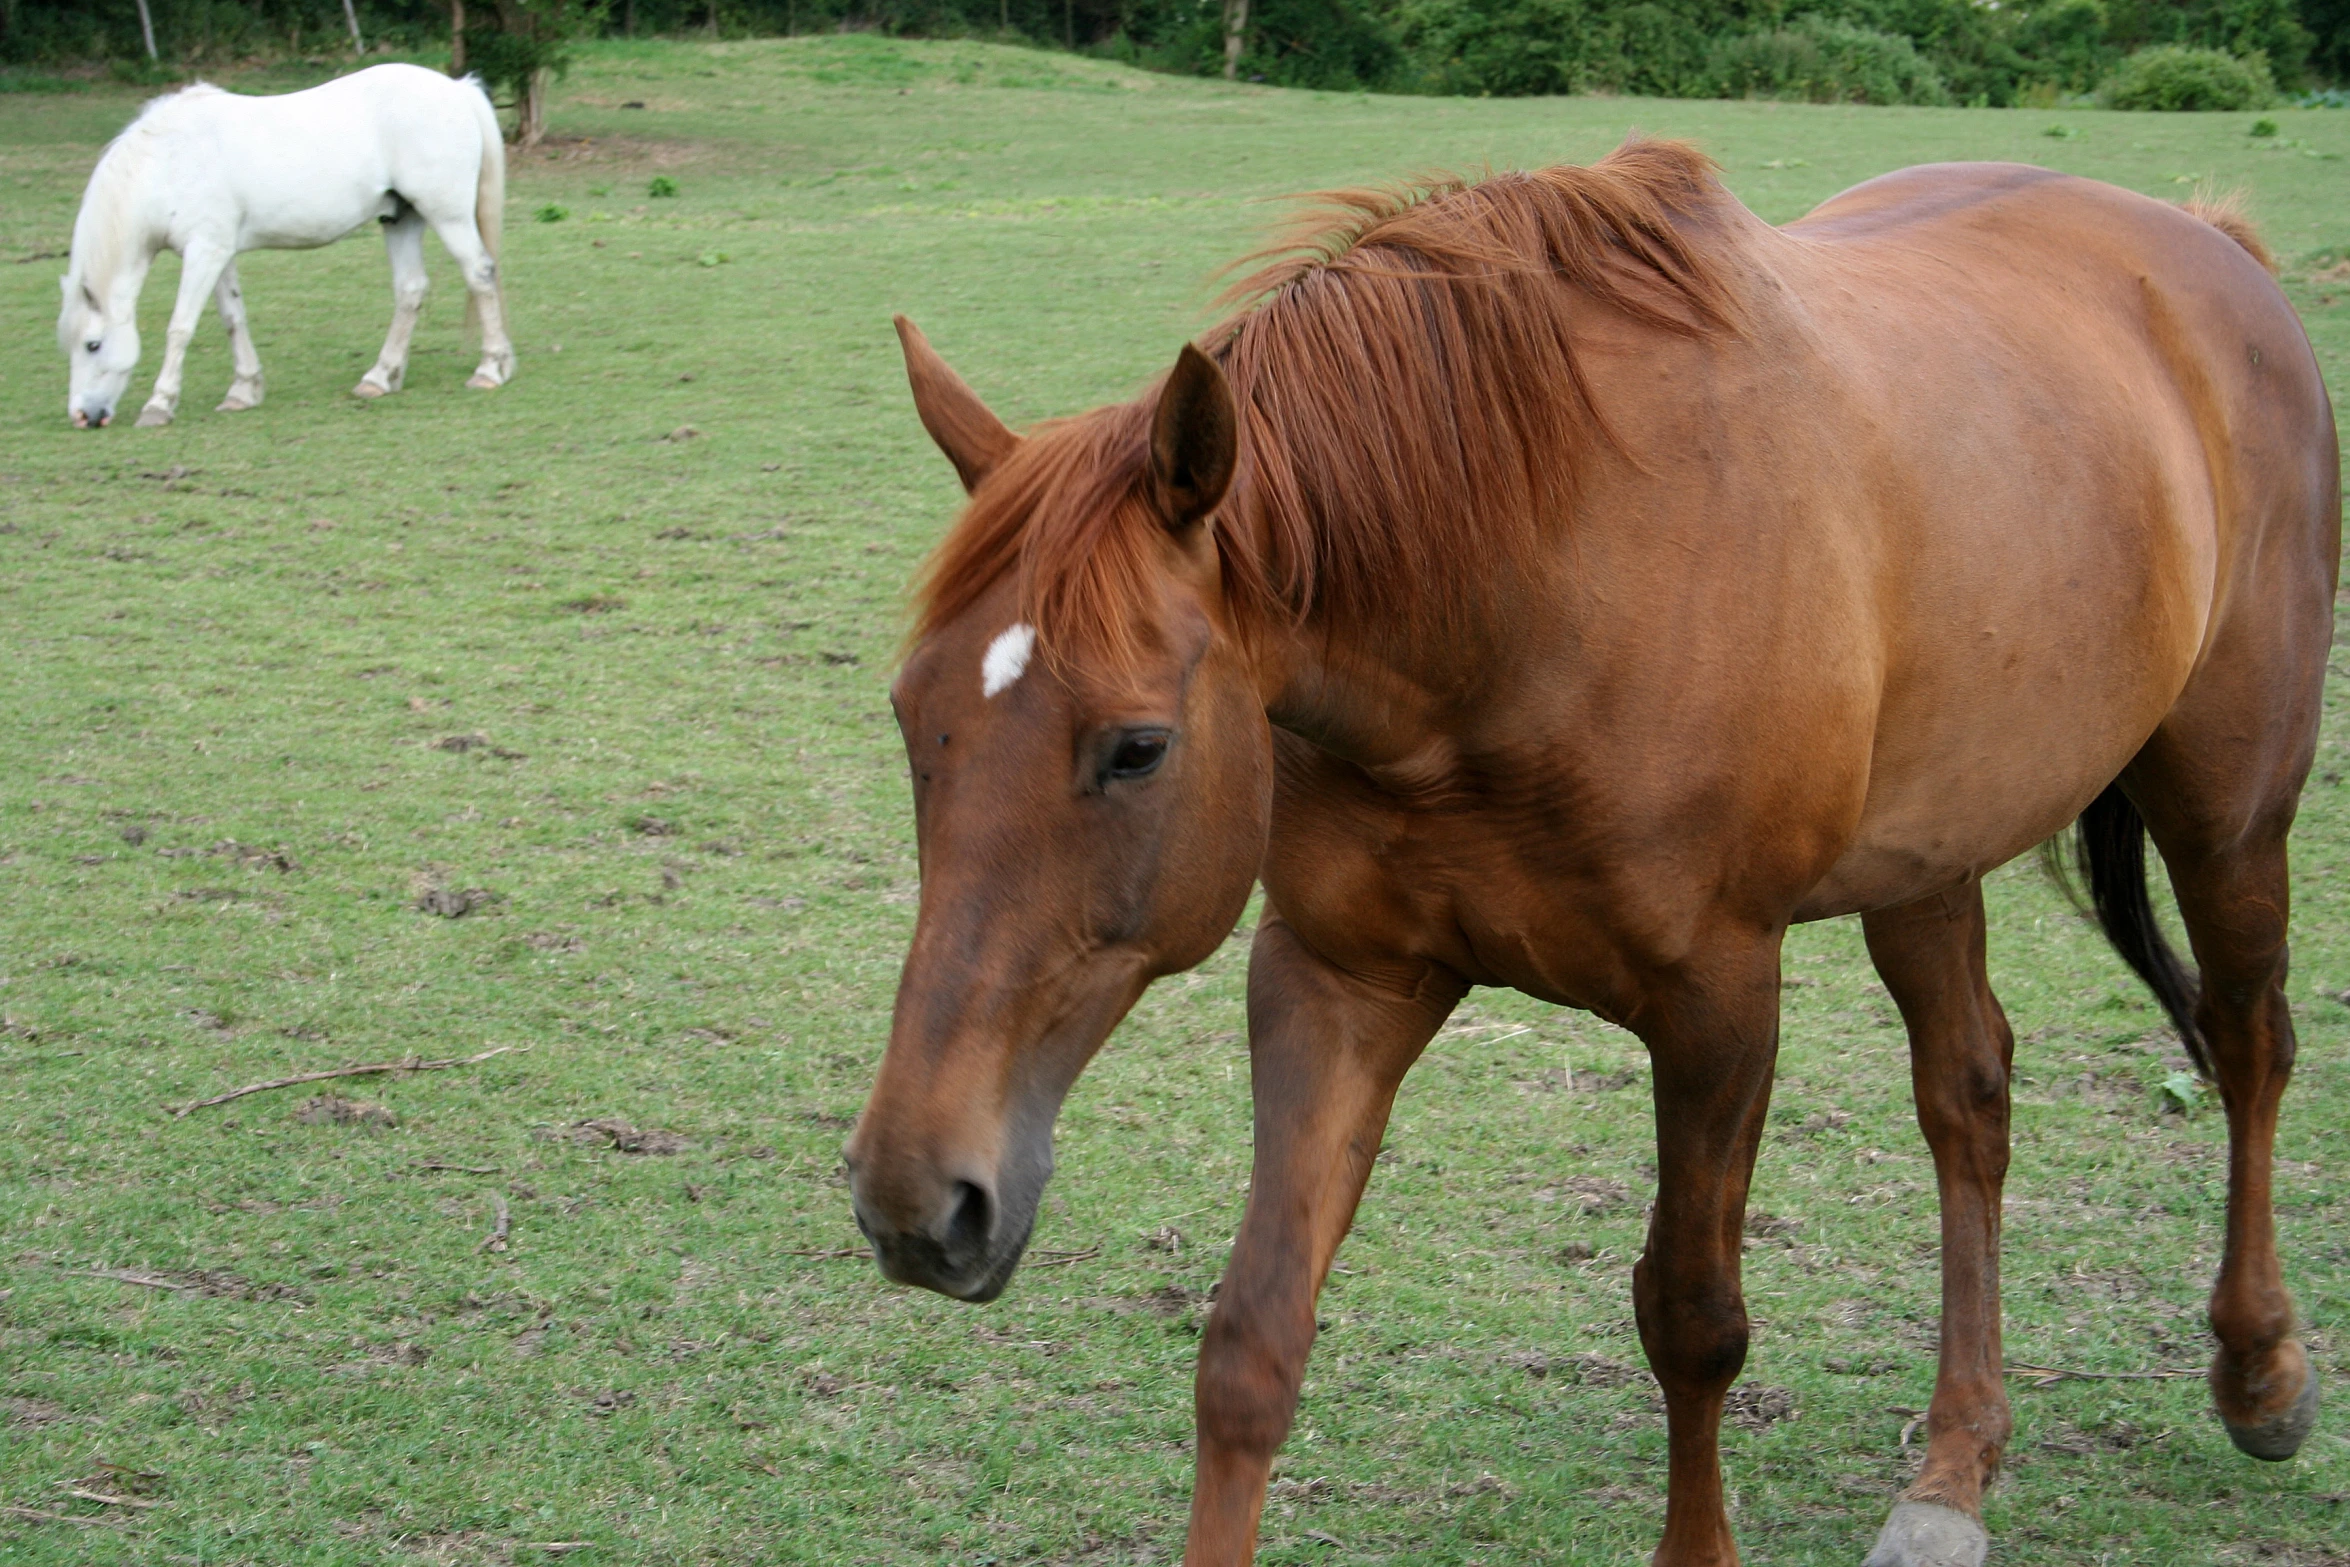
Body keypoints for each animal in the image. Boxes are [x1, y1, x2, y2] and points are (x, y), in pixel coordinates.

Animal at [59, 65, 517, 425]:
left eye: (93, 344)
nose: (83, 416)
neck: (169, 161)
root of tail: (457, 89)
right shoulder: (218, 253)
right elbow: (233, 318)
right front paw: (243, 391)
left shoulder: (204, 252)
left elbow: (181, 327)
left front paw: (159, 404)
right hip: (401, 219)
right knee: (411, 290)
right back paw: (379, 378)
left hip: (448, 216)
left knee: (479, 273)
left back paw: (489, 369)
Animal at [841, 140, 2331, 1559]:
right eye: (910, 712)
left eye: (1136, 747)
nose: (916, 1198)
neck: (1527, 588)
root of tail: (2207, 244)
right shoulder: (1337, 975)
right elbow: (1252, 1337)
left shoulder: (1717, 1002)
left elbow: (1691, 1316)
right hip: (1929, 856)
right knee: (1969, 1096)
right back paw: (1952, 1471)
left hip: (2228, 812)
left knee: (2249, 1041)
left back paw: (2258, 1369)